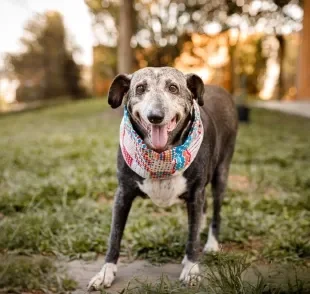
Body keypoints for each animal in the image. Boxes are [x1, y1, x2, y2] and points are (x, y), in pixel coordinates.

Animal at [87, 66, 237, 290]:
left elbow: (192, 238)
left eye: (173, 88)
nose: (155, 116)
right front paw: (106, 272)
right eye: (140, 88)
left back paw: (211, 244)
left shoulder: (196, 193)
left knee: (215, 213)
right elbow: (114, 236)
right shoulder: (122, 194)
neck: (161, 155)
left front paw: (191, 269)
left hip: (221, 175)